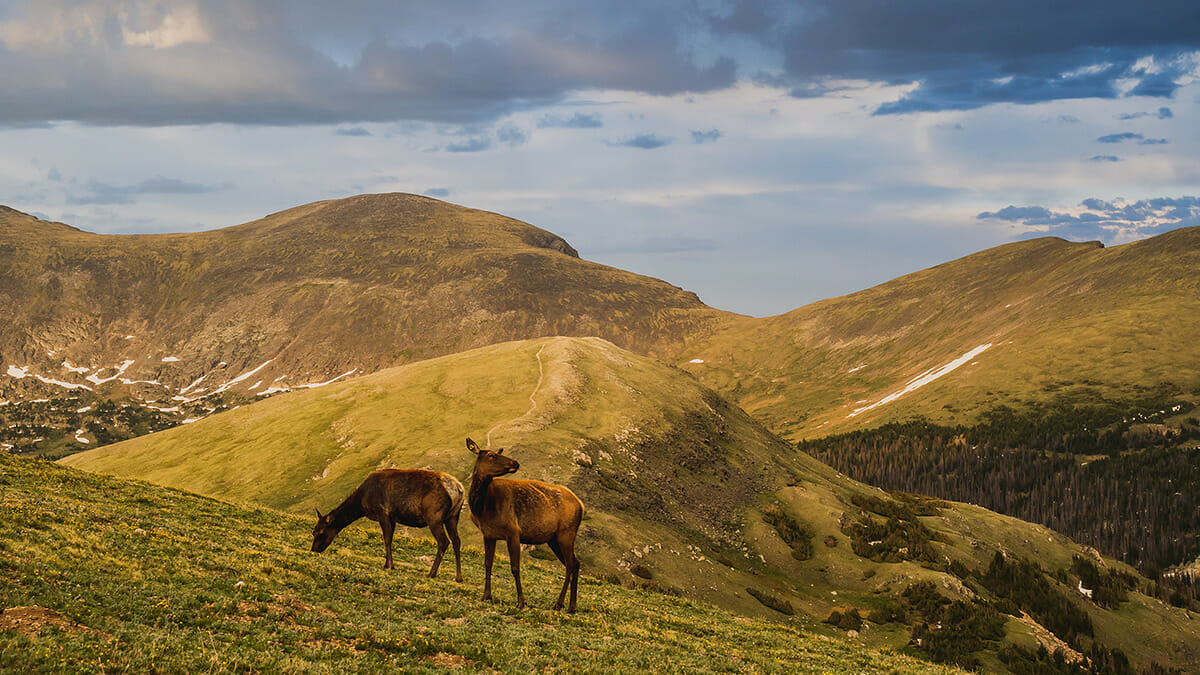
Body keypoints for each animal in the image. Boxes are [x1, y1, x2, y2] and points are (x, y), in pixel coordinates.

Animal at [309, 468, 463, 578]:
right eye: (313, 531)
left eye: (320, 532)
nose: (313, 550)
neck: (361, 503)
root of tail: (458, 489)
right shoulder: (392, 518)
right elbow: (390, 539)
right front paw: (389, 564)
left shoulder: (383, 513)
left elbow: (387, 540)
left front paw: (388, 565)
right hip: (453, 516)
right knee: (456, 541)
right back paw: (458, 577)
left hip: (434, 516)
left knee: (444, 541)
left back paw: (431, 573)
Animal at [465, 432, 583, 612]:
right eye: (491, 455)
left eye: (497, 452)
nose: (515, 463)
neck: (482, 508)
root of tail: (581, 506)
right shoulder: (488, 534)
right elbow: (487, 563)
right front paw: (486, 595)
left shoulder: (513, 531)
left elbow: (515, 567)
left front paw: (521, 602)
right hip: (554, 539)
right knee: (575, 564)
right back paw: (571, 606)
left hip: (566, 533)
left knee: (570, 564)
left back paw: (560, 603)